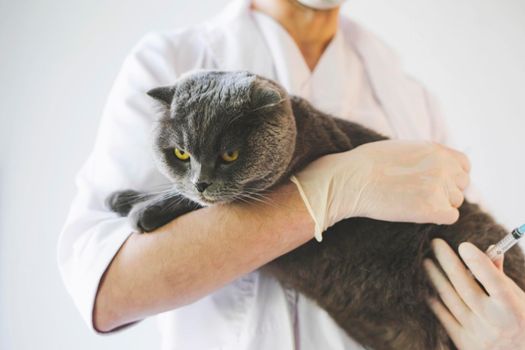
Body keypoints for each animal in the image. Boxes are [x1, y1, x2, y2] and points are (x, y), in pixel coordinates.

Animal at [106, 69, 524, 348]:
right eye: (180, 153)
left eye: (229, 155)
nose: (200, 181)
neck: (303, 130)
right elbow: (182, 195)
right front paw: (124, 197)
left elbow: (197, 205)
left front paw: (142, 210)